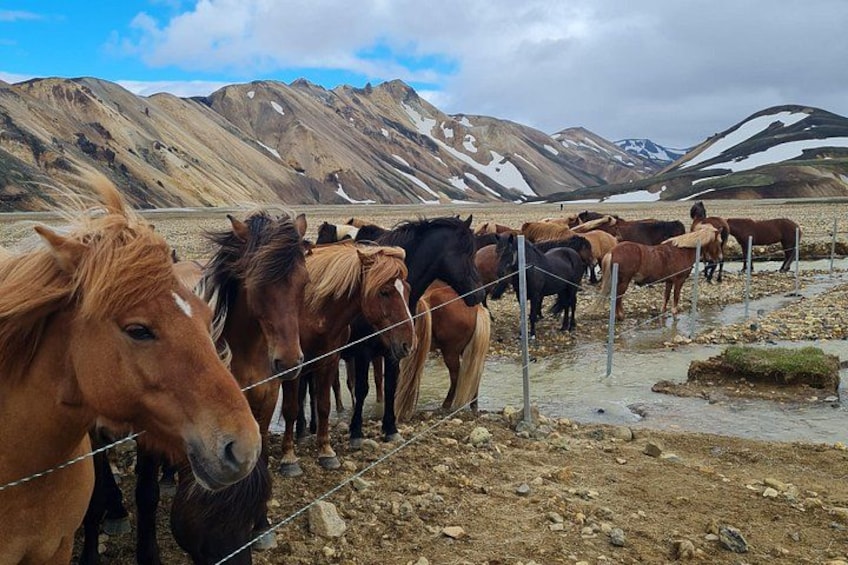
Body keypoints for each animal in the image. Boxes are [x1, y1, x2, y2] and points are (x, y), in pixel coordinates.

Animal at [277, 241, 415, 478]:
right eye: (384, 292)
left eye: (407, 290)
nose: (408, 343)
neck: (311, 311)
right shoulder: (293, 368)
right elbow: (290, 408)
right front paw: (289, 458)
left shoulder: (330, 361)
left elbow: (324, 404)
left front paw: (326, 451)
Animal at [345, 216, 484, 449]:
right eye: (465, 253)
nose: (480, 293)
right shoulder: (363, 352)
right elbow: (362, 388)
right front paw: (356, 432)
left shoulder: (394, 350)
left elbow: (391, 386)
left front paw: (390, 429)